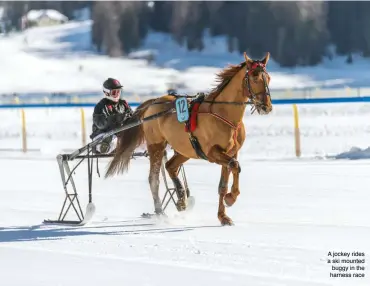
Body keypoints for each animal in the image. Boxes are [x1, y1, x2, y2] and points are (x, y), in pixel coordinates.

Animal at [105, 52, 274, 226]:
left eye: (268, 78)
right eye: (254, 77)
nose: (266, 107)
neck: (223, 114)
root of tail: (154, 102)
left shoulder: (231, 152)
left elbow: (224, 182)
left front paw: (223, 216)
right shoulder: (213, 153)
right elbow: (235, 166)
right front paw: (231, 198)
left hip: (185, 149)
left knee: (170, 166)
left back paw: (181, 200)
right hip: (156, 145)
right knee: (154, 179)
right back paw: (160, 211)